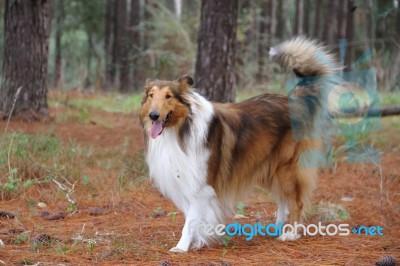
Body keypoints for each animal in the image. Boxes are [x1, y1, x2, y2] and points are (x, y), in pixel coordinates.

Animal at [139, 37, 340, 251]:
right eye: (151, 96)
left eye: (168, 96)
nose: (153, 115)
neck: (181, 129)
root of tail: (294, 101)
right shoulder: (188, 179)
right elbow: (193, 215)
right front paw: (198, 240)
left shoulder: (202, 184)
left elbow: (191, 219)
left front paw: (182, 246)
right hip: (268, 167)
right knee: (283, 198)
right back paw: (277, 228)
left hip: (287, 167)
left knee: (296, 201)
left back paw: (291, 234)